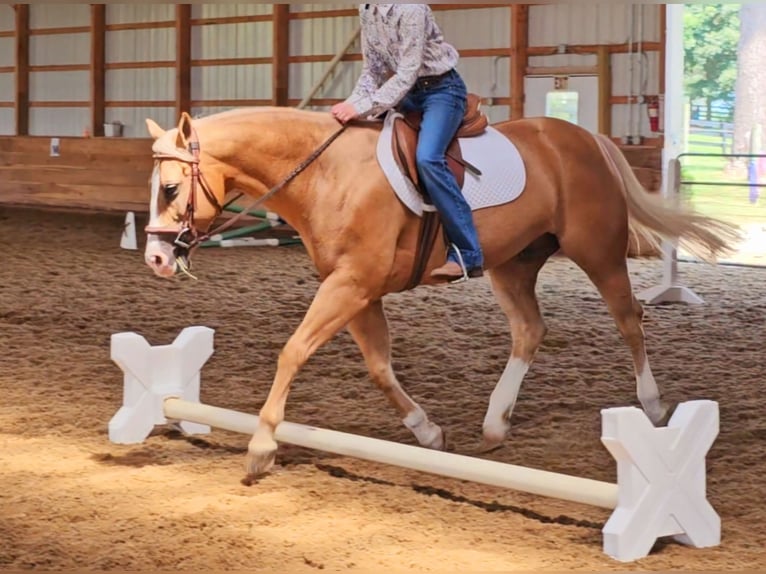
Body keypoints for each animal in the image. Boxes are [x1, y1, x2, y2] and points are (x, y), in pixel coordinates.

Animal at [141, 104, 740, 482]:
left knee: (628, 317)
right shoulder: (356, 291)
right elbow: (379, 367)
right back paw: (495, 424)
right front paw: (427, 433)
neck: (328, 174)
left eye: (170, 188)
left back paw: (653, 404)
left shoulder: (350, 284)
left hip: (597, 252)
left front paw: (262, 445)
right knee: (530, 330)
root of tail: (584, 138)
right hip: (513, 264)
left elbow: (293, 351)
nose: (156, 259)